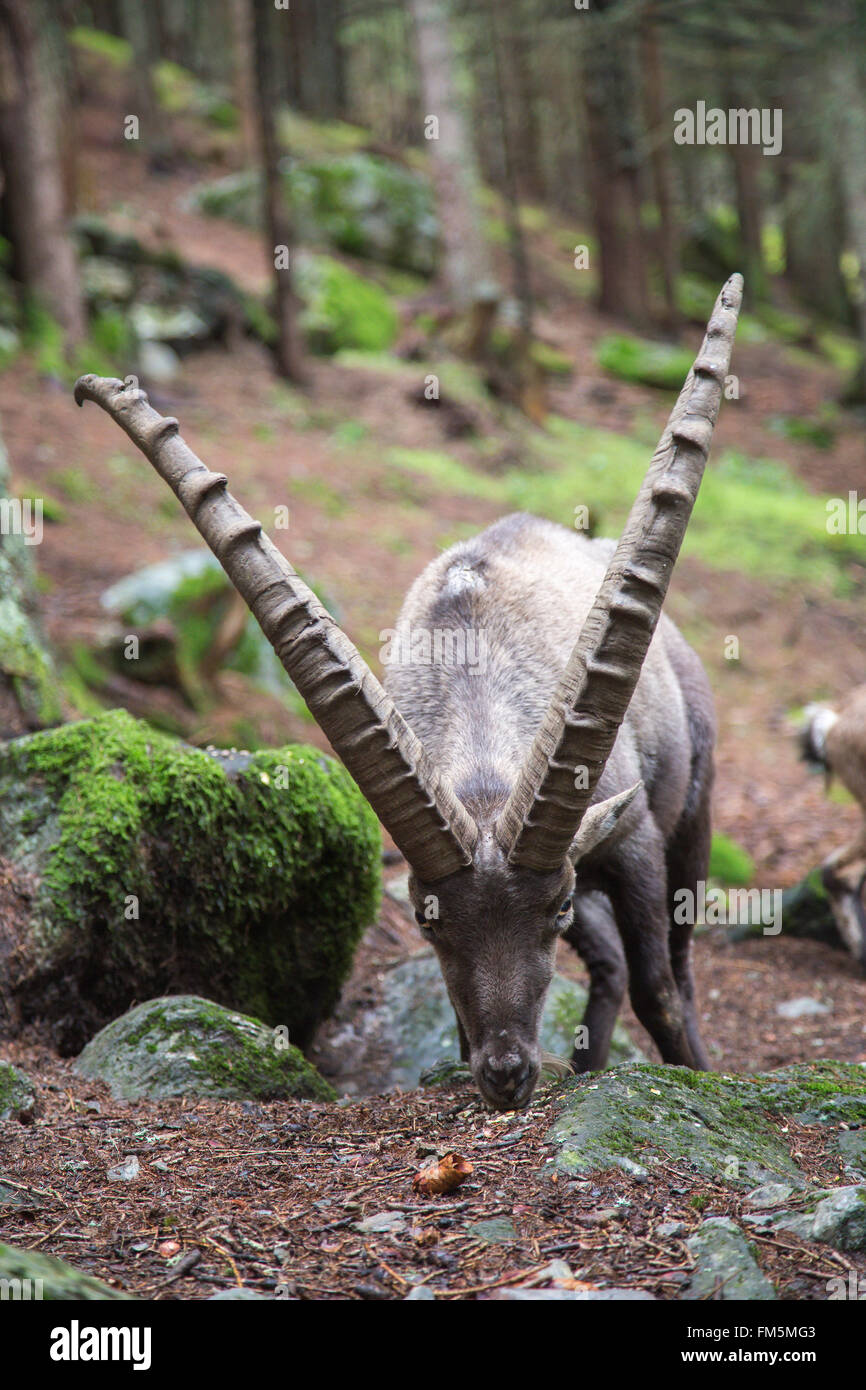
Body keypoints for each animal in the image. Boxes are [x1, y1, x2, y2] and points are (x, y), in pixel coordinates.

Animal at [74, 273, 742, 1110]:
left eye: (551, 907)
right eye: (429, 918)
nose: (507, 1073)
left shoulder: (632, 839)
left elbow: (660, 986)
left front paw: (696, 1075)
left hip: (692, 813)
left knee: (669, 963)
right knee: (610, 967)